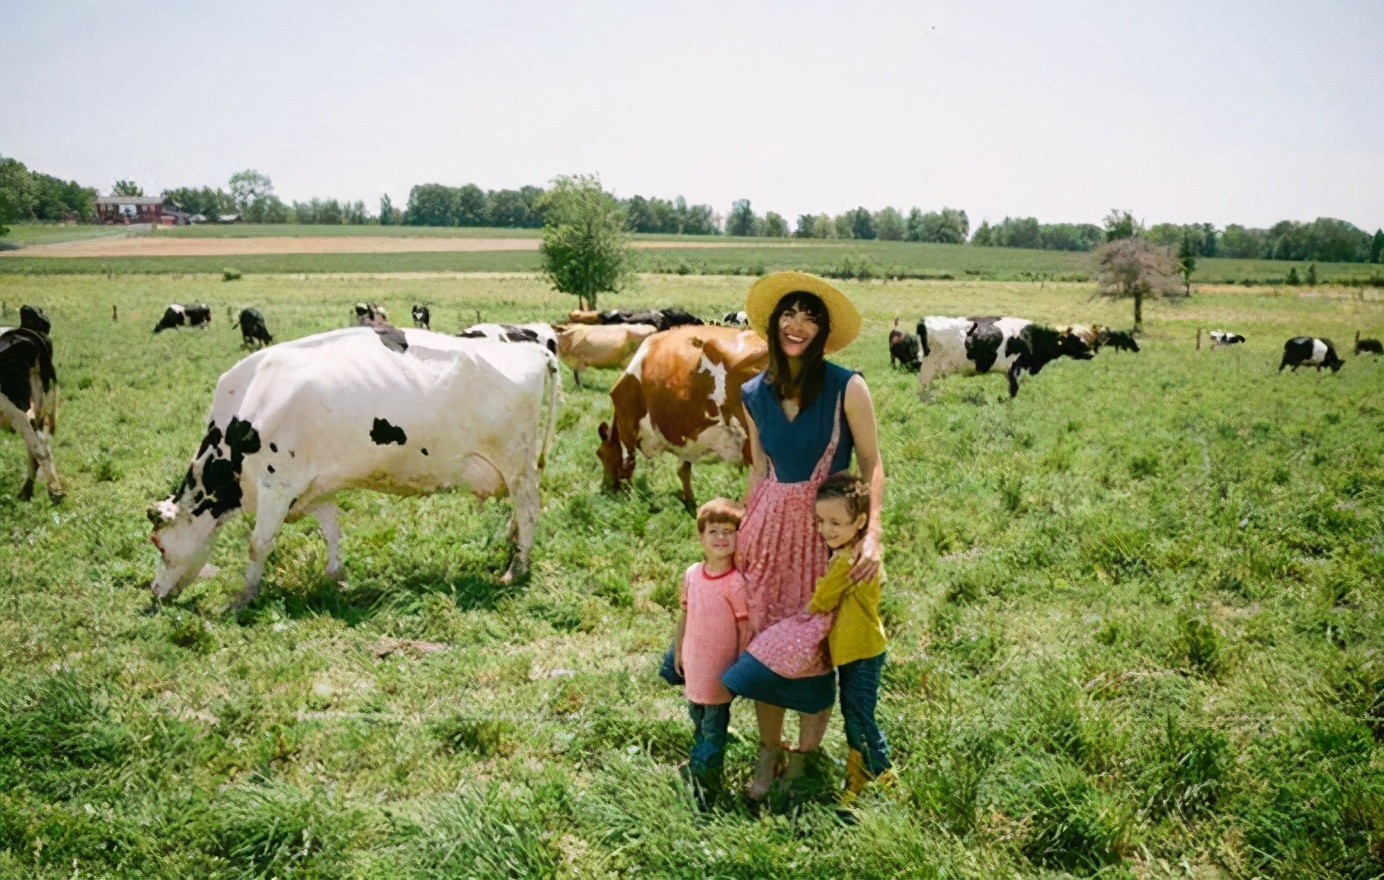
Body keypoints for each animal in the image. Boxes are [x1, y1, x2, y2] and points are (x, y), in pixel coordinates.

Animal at [147, 326, 561, 608]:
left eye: (160, 545)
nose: (154, 593)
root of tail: (534, 350)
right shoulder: (315, 487)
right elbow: (332, 531)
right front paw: (337, 578)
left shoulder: (275, 486)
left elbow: (257, 544)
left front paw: (246, 597)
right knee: (520, 511)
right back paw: (511, 545)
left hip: (516, 463)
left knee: (528, 509)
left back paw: (516, 567)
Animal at [595, 326, 769, 511]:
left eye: (600, 454)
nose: (604, 489)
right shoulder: (684, 434)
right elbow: (683, 469)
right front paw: (691, 504)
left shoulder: (627, 429)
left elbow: (629, 465)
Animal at [913, 316, 1096, 398]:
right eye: (1075, 339)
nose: (1091, 353)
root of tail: (926, 320)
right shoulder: (1017, 368)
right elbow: (1014, 391)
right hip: (928, 367)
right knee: (922, 387)